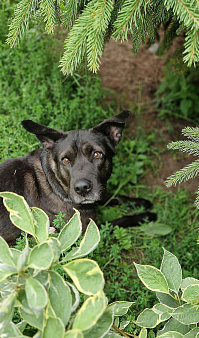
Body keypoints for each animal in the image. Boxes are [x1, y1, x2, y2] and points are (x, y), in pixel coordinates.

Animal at [0, 112, 155, 244]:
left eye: (97, 154)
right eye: (65, 160)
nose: (82, 188)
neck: (53, 183)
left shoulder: (99, 190)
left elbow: (114, 196)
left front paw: (141, 202)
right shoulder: (88, 231)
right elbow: (121, 220)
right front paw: (146, 216)